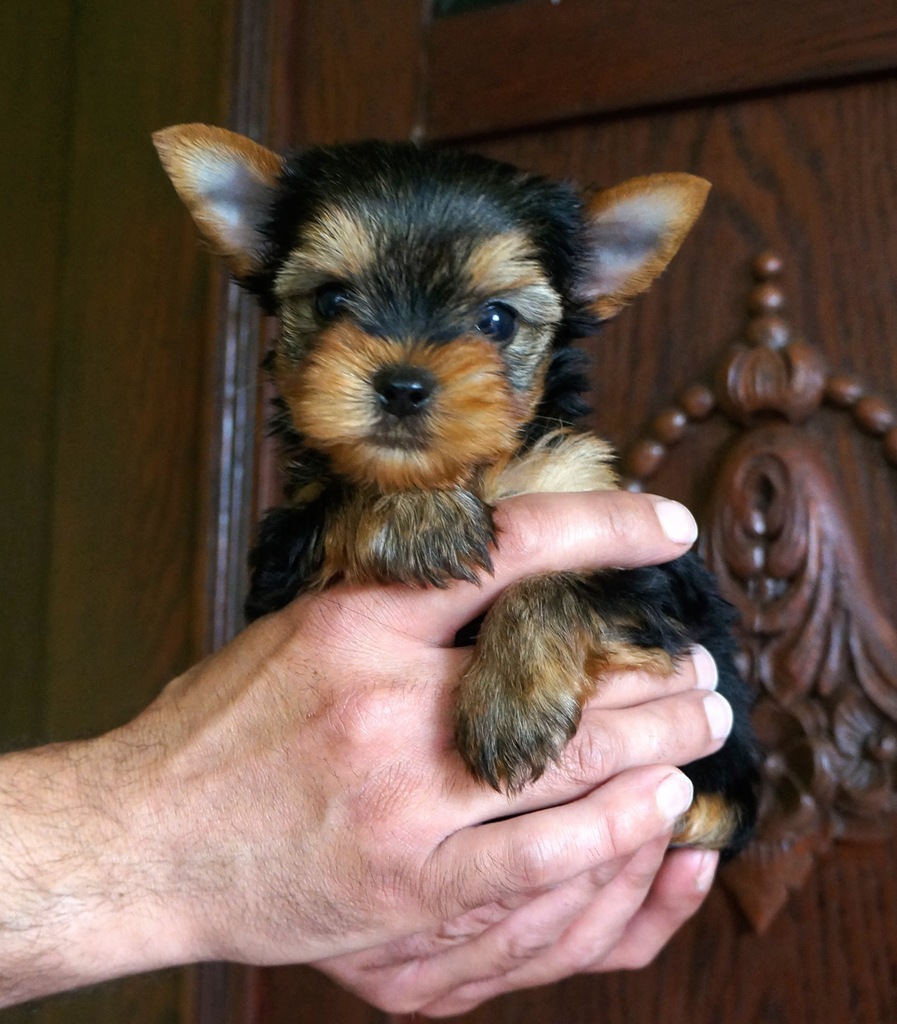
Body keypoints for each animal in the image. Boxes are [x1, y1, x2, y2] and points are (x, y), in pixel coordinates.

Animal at [154, 125, 757, 856]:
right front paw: (420, 517)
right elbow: (341, 502)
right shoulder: (282, 558)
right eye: (331, 300)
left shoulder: (650, 567)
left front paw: (512, 704)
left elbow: (563, 584)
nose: (402, 385)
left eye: (496, 320)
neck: (470, 472)